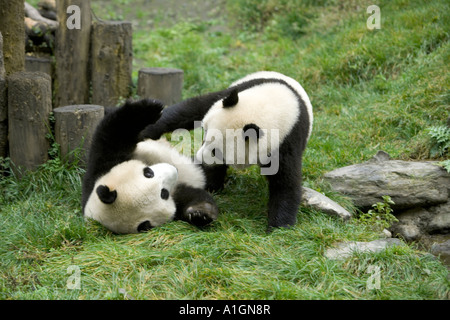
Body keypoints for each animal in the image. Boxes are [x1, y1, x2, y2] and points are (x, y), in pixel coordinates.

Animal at [84, 99, 220, 234]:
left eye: (148, 173)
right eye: (164, 194)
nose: (174, 170)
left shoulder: (100, 169)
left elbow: (113, 134)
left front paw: (147, 109)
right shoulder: (177, 199)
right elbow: (194, 196)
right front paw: (199, 214)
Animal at [141, 71, 312, 230]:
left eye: (217, 151)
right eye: (205, 134)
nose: (199, 159)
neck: (272, 105)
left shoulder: (288, 139)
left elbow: (286, 182)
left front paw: (279, 227)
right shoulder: (231, 94)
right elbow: (190, 110)